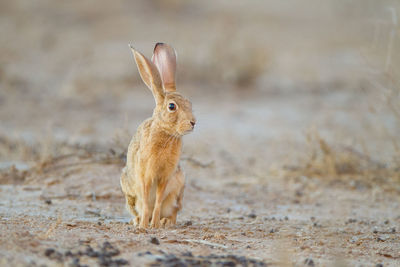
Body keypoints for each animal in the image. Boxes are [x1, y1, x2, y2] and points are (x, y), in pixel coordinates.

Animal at [120, 43, 195, 229]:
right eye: (171, 107)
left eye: (190, 103)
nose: (193, 122)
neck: (165, 133)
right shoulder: (145, 175)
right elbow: (147, 202)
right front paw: (144, 225)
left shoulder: (165, 176)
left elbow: (158, 201)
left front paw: (154, 224)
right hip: (128, 191)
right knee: (137, 208)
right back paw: (138, 221)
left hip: (178, 189)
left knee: (173, 210)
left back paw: (165, 221)